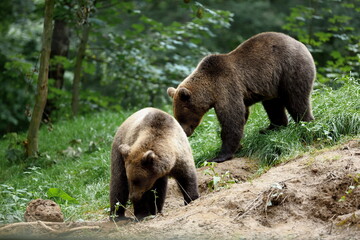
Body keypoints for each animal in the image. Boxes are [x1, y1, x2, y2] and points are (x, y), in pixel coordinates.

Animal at [167, 31, 314, 162]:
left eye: (181, 116)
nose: (184, 132)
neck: (210, 90)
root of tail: (301, 44)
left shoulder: (226, 87)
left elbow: (233, 119)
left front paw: (219, 156)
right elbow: (242, 114)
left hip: (290, 69)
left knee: (296, 100)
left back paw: (305, 124)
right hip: (273, 84)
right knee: (273, 105)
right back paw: (269, 128)